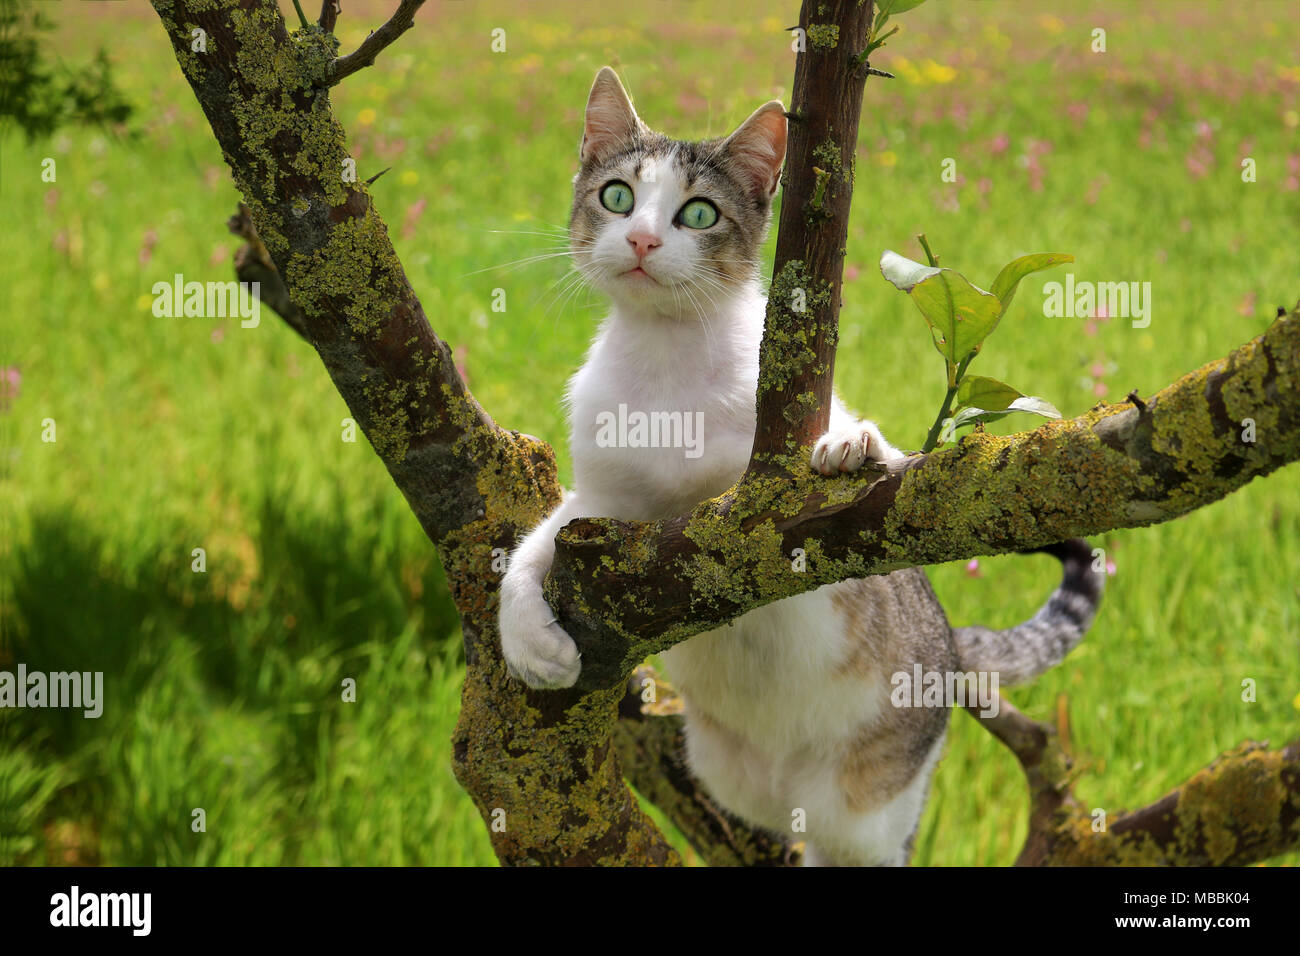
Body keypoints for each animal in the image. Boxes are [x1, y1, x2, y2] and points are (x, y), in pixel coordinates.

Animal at [491, 69, 1102, 868]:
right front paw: (529, 644)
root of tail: (949, 645)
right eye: (617, 196)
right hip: (728, 777)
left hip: (872, 814)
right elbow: (534, 546)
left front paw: (851, 445)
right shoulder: (601, 501)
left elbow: (851, 467)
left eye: (698, 213)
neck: (666, 363)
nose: (644, 238)